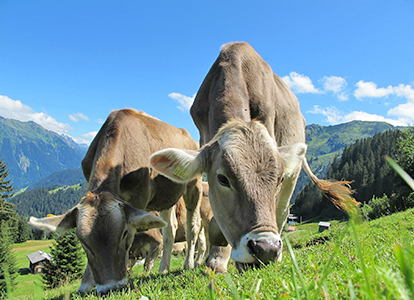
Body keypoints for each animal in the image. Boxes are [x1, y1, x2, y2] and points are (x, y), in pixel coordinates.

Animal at [27, 108, 202, 292]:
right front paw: (86, 284)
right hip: (166, 196)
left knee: (193, 225)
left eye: (123, 233)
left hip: (194, 185)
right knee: (170, 228)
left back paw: (189, 264)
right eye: (82, 241)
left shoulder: (139, 197)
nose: (110, 287)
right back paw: (164, 268)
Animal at [150, 41, 358, 272]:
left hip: (294, 172)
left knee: (282, 211)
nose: (266, 248)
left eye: (278, 179)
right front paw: (216, 259)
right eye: (222, 179)